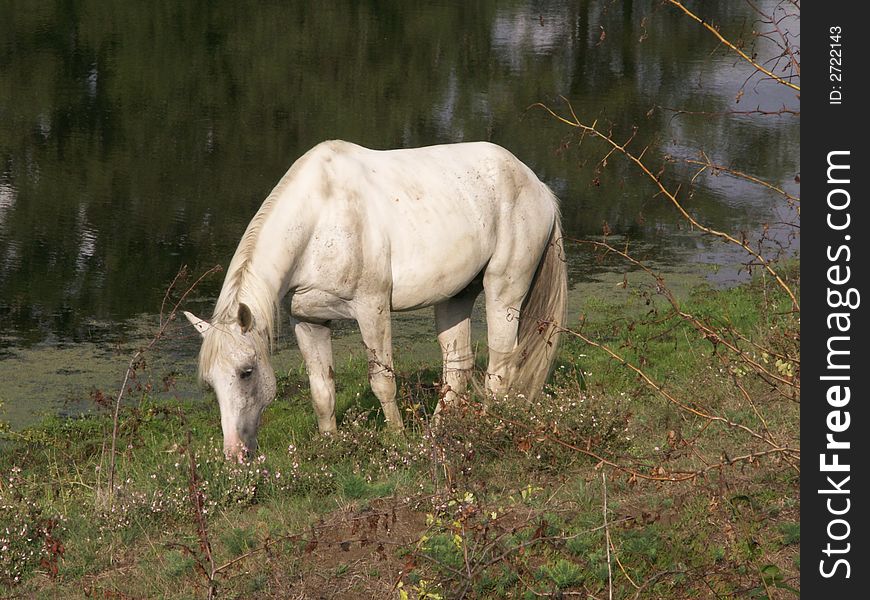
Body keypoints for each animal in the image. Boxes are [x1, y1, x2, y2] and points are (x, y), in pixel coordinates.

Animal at [185, 142, 568, 460]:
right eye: (210, 383)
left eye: (246, 372)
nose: (234, 454)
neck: (320, 217)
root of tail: (536, 184)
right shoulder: (309, 322)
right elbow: (321, 390)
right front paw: (331, 446)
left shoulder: (373, 309)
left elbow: (383, 382)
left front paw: (397, 440)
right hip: (455, 296)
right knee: (457, 369)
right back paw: (438, 435)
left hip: (504, 290)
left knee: (501, 367)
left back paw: (489, 427)